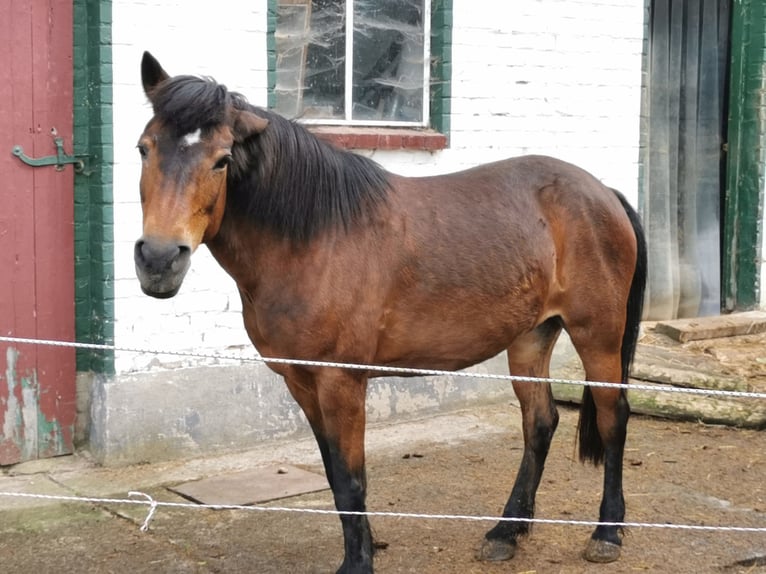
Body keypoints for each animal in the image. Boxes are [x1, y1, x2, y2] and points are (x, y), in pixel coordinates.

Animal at [134, 51, 648, 572]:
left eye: (222, 160)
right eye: (143, 149)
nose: (159, 259)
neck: (314, 239)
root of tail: (603, 192)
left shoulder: (341, 381)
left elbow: (351, 478)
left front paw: (358, 562)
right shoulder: (301, 381)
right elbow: (335, 474)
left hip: (598, 335)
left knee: (614, 419)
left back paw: (607, 533)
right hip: (531, 337)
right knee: (539, 423)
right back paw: (506, 532)